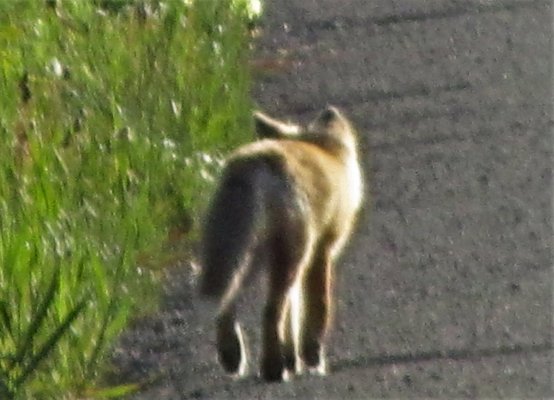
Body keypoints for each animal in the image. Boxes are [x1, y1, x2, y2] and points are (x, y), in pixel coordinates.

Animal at [198, 105, 362, 382]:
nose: (329, 110)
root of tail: (255, 160)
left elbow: (291, 318)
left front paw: (292, 359)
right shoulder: (322, 250)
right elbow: (318, 308)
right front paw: (311, 357)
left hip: (250, 257)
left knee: (228, 303)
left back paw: (233, 356)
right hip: (291, 253)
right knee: (269, 312)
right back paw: (272, 368)